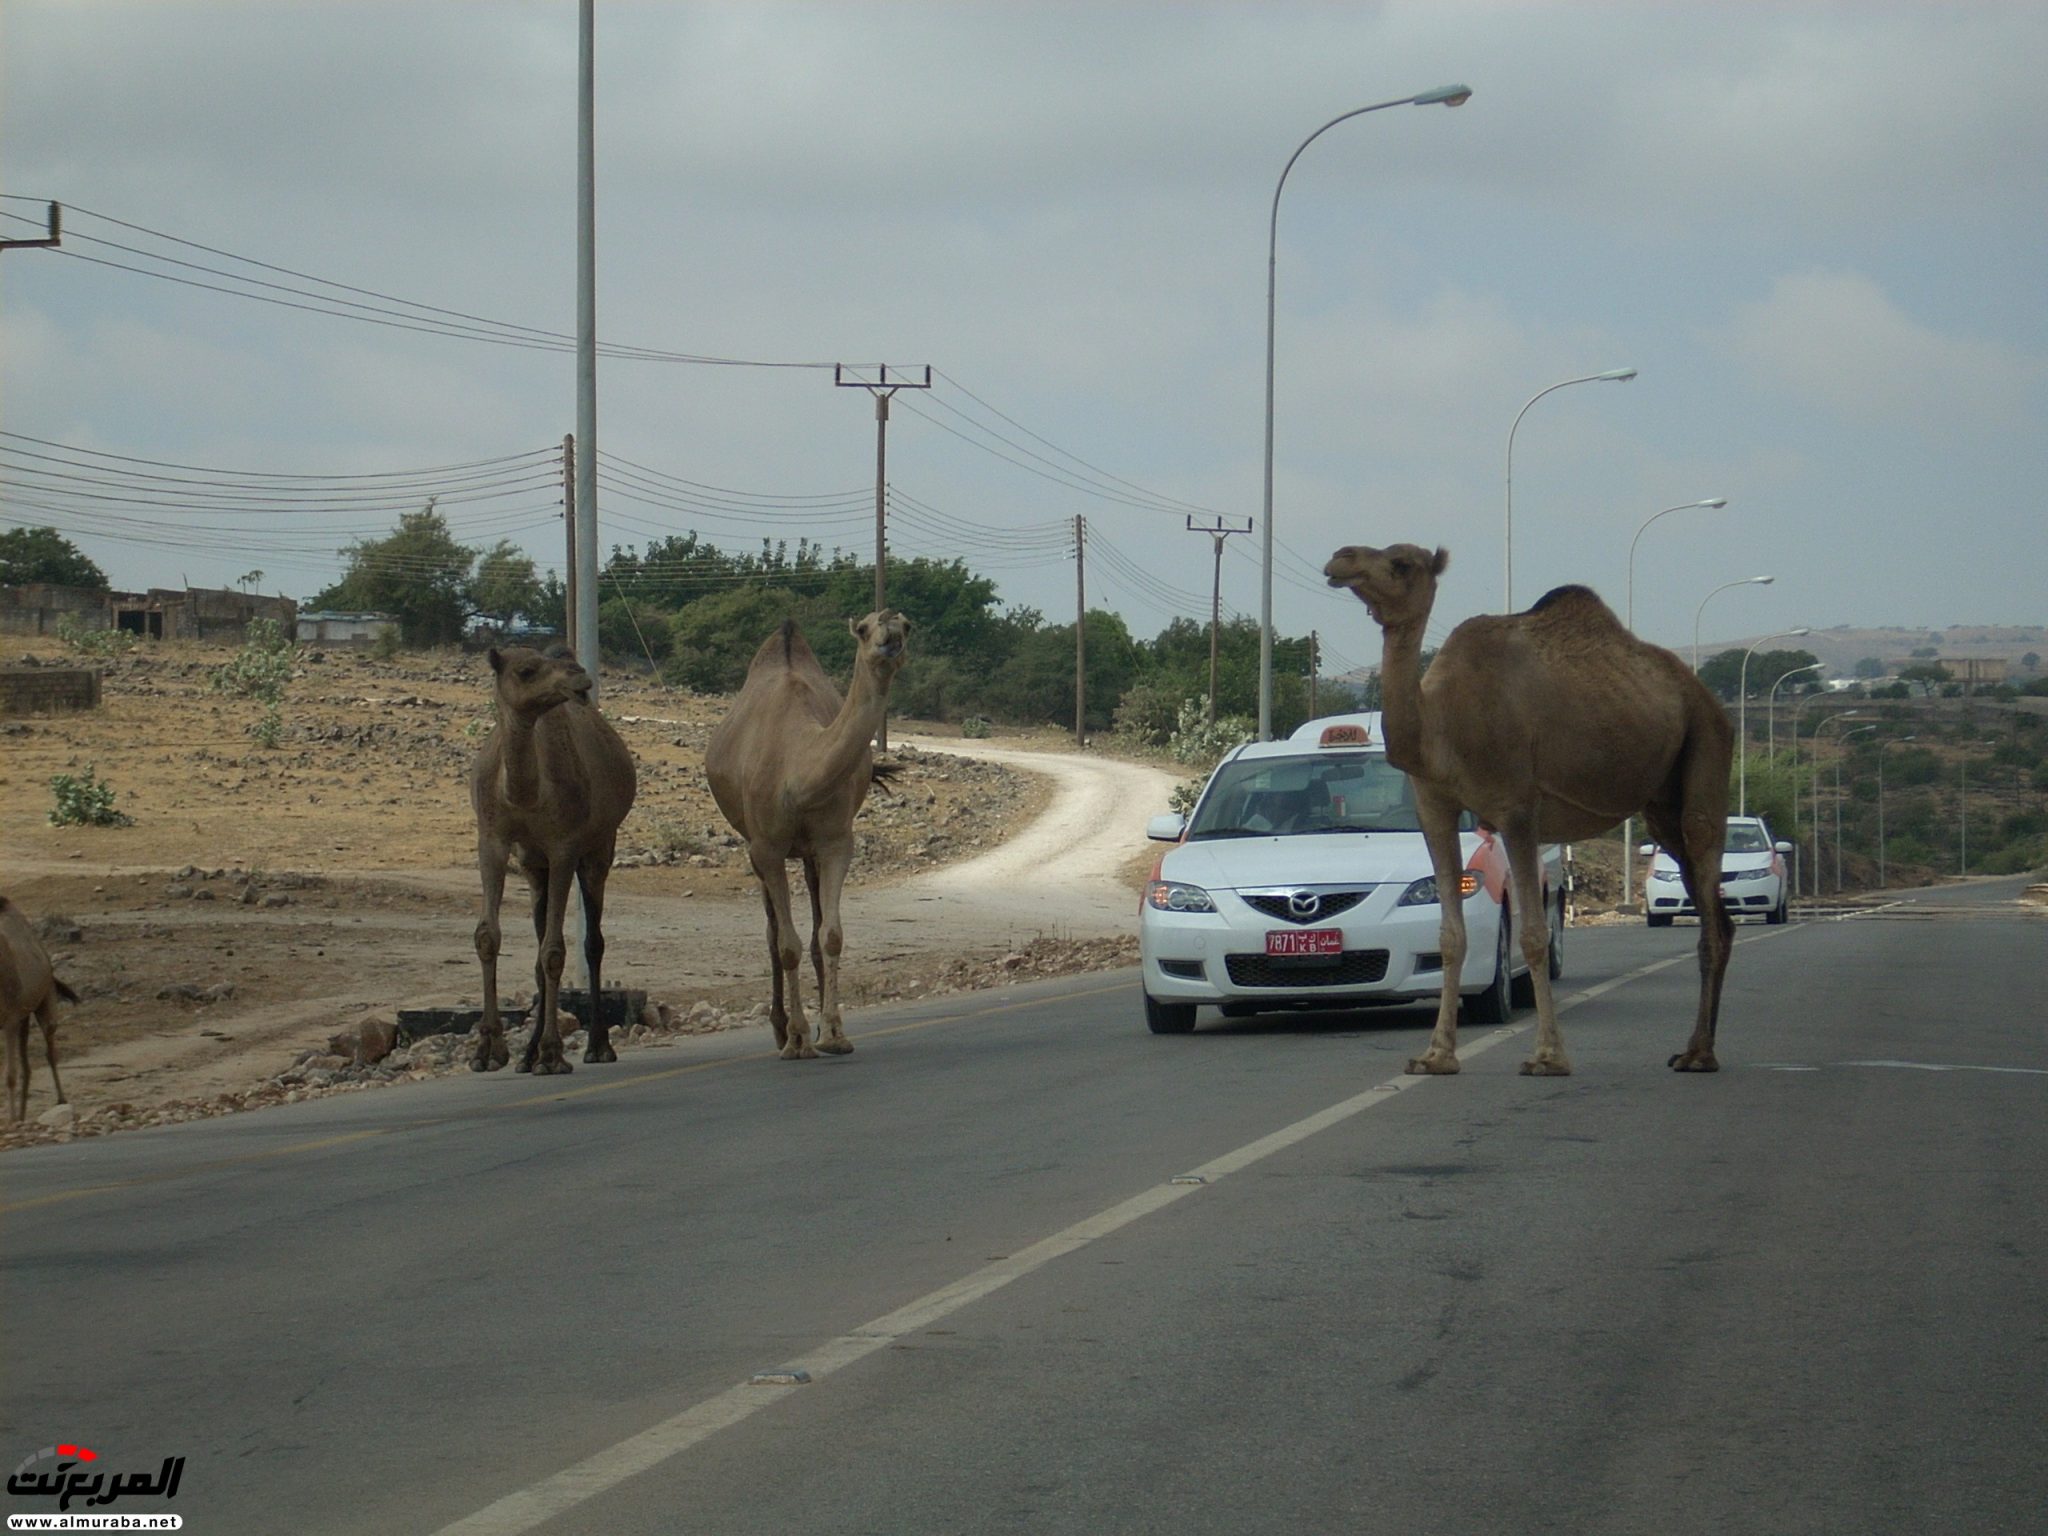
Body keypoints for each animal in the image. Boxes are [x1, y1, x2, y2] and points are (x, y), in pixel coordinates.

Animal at [2, 897, 78, 1122]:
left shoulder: (10, 1020)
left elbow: (9, 1074)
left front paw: (10, 1120)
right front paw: (14, 1118)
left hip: (46, 1001)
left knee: (50, 1051)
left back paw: (61, 1100)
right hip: (25, 1017)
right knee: (27, 1066)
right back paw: (22, 1115)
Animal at [468, 643, 634, 1073]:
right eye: (526, 670)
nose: (579, 678)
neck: (524, 794)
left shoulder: (564, 847)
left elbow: (556, 951)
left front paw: (552, 1053)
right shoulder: (493, 840)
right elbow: (488, 937)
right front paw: (488, 1050)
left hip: (599, 849)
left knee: (592, 942)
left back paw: (597, 1046)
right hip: (533, 866)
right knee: (541, 943)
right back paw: (527, 1056)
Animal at [704, 606, 913, 1064]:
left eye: (907, 626)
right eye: (864, 628)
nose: (890, 638)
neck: (796, 768)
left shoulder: (836, 842)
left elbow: (830, 936)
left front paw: (833, 1033)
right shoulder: (766, 848)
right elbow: (786, 944)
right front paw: (798, 1040)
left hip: (808, 852)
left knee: (815, 926)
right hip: (756, 847)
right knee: (771, 932)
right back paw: (781, 1029)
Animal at [1318, 548, 1736, 1073]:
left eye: (1401, 563)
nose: (1341, 559)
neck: (1442, 726)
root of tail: (1707, 698)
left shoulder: (1516, 806)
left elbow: (1534, 936)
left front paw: (1548, 1056)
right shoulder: (1434, 805)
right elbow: (1450, 936)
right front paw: (1436, 1056)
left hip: (1706, 741)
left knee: (1705, 866)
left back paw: (1699, 1053)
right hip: (1661, 804)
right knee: (1715, 909)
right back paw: (1698, 1047)